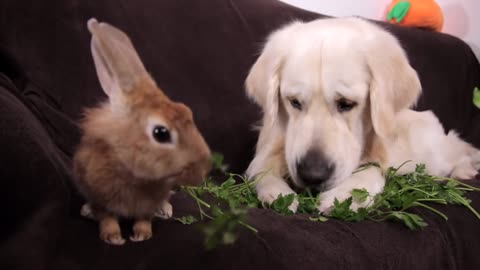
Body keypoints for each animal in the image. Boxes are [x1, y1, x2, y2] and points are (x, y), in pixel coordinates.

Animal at [72, 18, 211, 245]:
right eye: (161, 133)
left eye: (187, 110)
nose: (202, 170)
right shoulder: (100, 196)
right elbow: (107, 218)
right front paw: (113, 238)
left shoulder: (148, 204)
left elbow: (144, 218)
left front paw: (141, 235)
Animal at [246, 17, 478, 214]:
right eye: (294, 102)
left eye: (346, 104)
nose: (312, 175)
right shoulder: (267, 149)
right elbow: (262, 169)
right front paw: (277, 193)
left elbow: (372, 169)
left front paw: (345, 194)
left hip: (432, 155)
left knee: (459, 149)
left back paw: (465, 170)